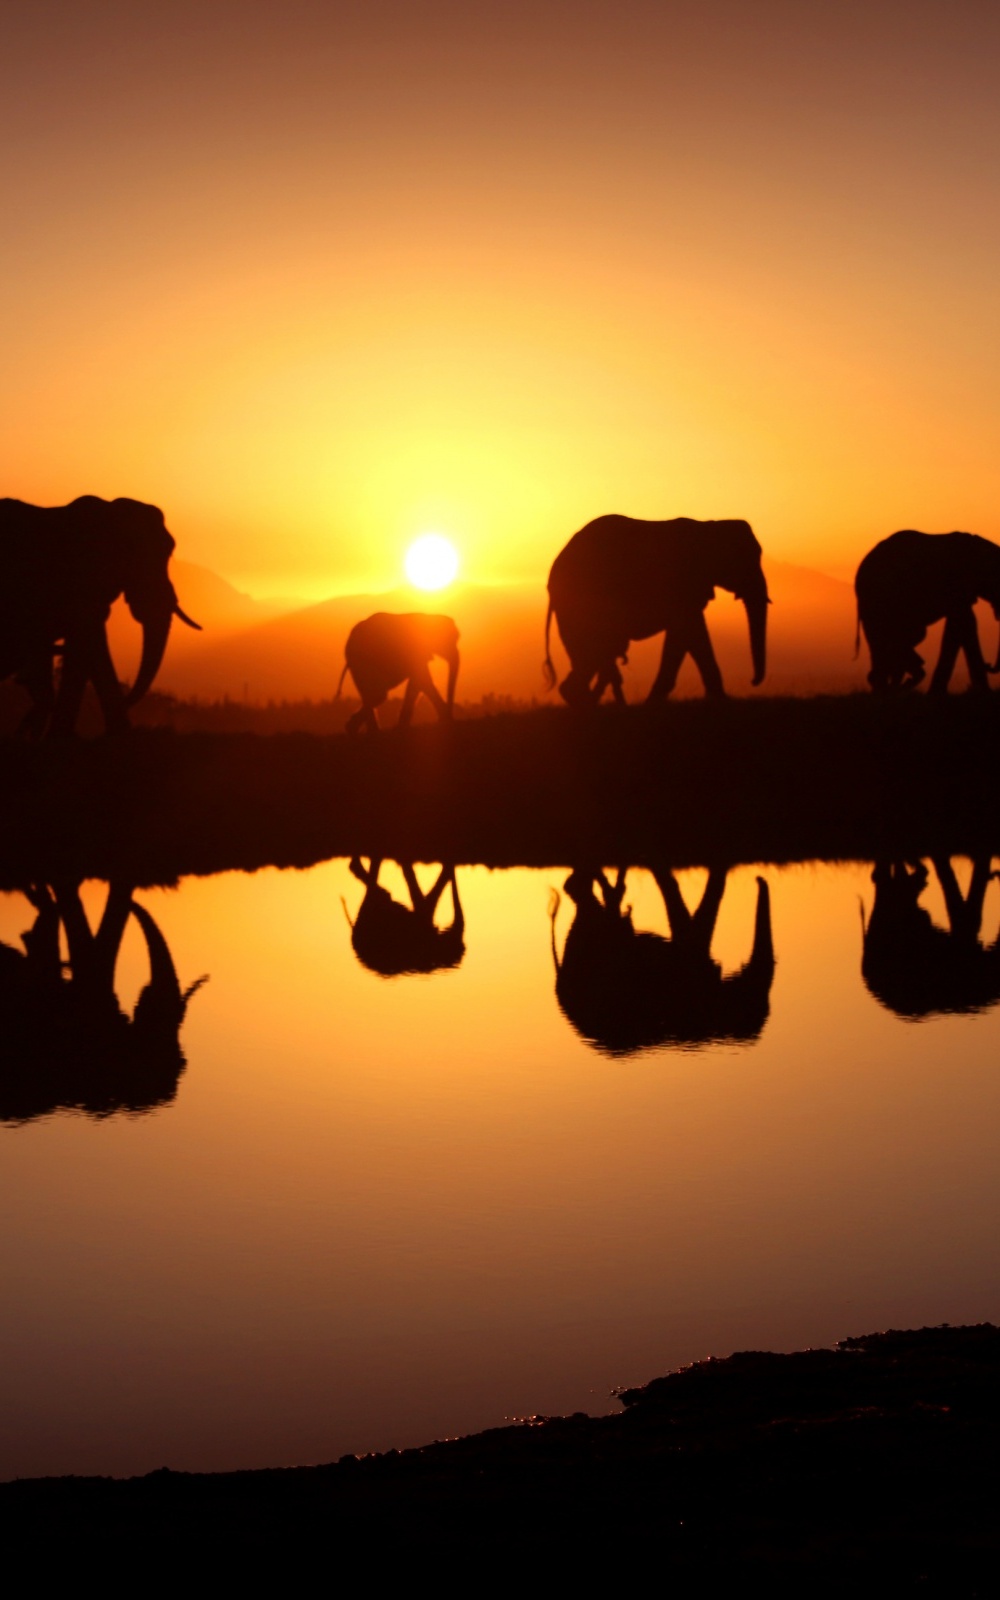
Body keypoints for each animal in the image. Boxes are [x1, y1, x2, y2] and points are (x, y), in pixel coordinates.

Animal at [542, 515, 769, 706]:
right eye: (745, 560)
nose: (753, 681)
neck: (708, 526)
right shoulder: (681, 584)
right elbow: (688, 633)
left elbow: (690, 636)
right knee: (594, 651)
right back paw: (587, 701)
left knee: (592, 653)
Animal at [855, 530, 1000, 693]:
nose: (988, 664)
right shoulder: (955, 586)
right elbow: (963, 623)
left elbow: (961, 625)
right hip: (877, 600)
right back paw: (889, 688)